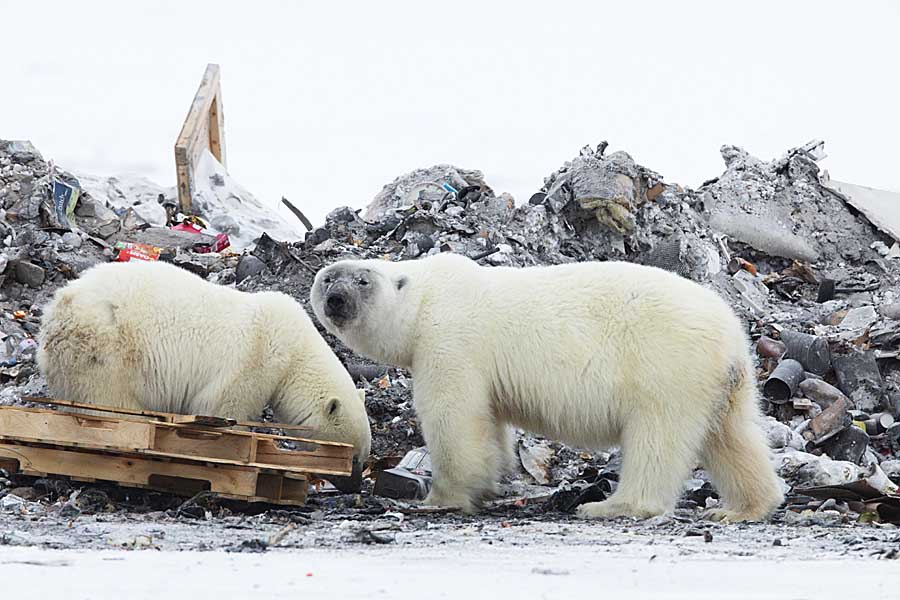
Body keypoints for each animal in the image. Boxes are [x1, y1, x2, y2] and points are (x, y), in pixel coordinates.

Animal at [38, 262, 372, 488]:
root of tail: (55, 312)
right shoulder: (254, 361)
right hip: (107, 349)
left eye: (363, 456)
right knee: (115, 404)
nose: (355, 486)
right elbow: (223, 410)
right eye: (353, 458)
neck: (296, 353)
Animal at [312, 251, 784, 516]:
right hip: (722, 384)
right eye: (326, 279)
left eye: (362, 279)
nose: (335, 299)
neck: (425, 299)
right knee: (733, 438)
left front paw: (439, 498)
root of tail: (731, 336)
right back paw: (742, 509)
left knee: (657, 438)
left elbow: (454, 418)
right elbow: (491, 423)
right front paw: (493, 483)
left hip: (666, 366)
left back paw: (611, 506)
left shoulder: (450, 342)